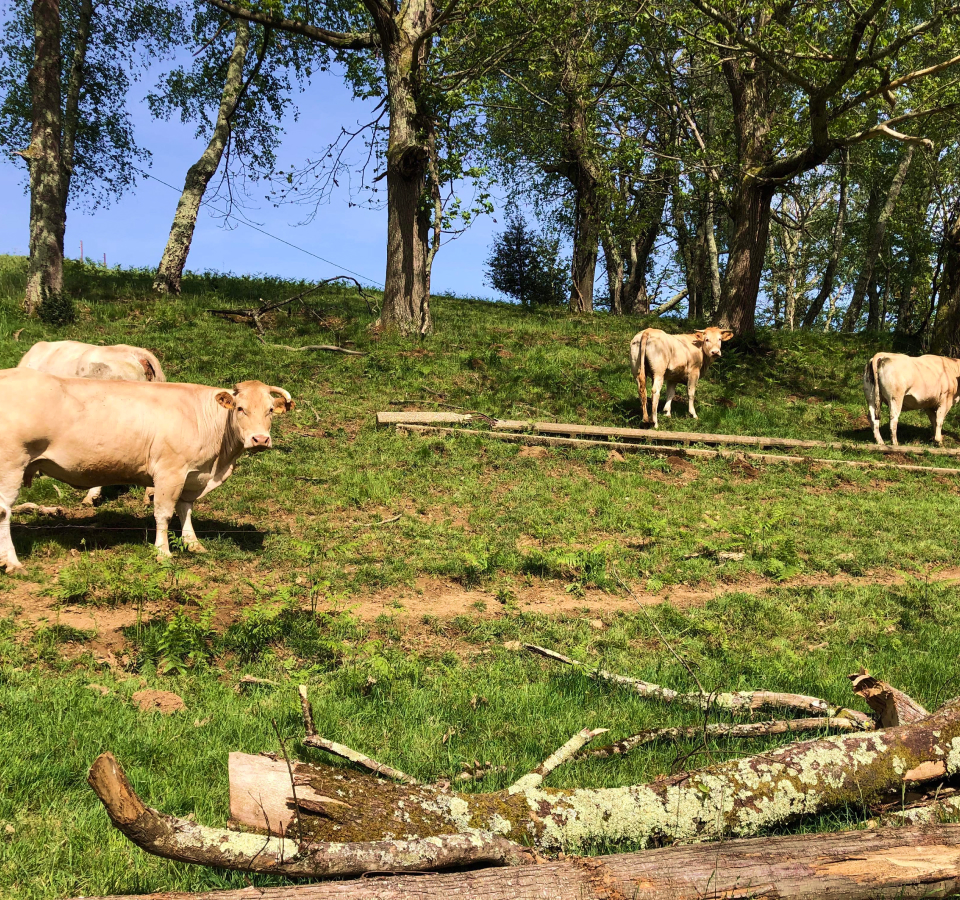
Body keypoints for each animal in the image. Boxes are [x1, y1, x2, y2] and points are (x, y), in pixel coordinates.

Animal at [0, 370, 293, 572]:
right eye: (241, 409)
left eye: (270, 410)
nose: (260, 439)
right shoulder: (169, 471)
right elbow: (163, 513)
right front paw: (163, 552)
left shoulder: (193, 475)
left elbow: (185, 510)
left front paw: (193, 544)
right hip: (10, 465)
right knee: (4, 511)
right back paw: (12, 563)